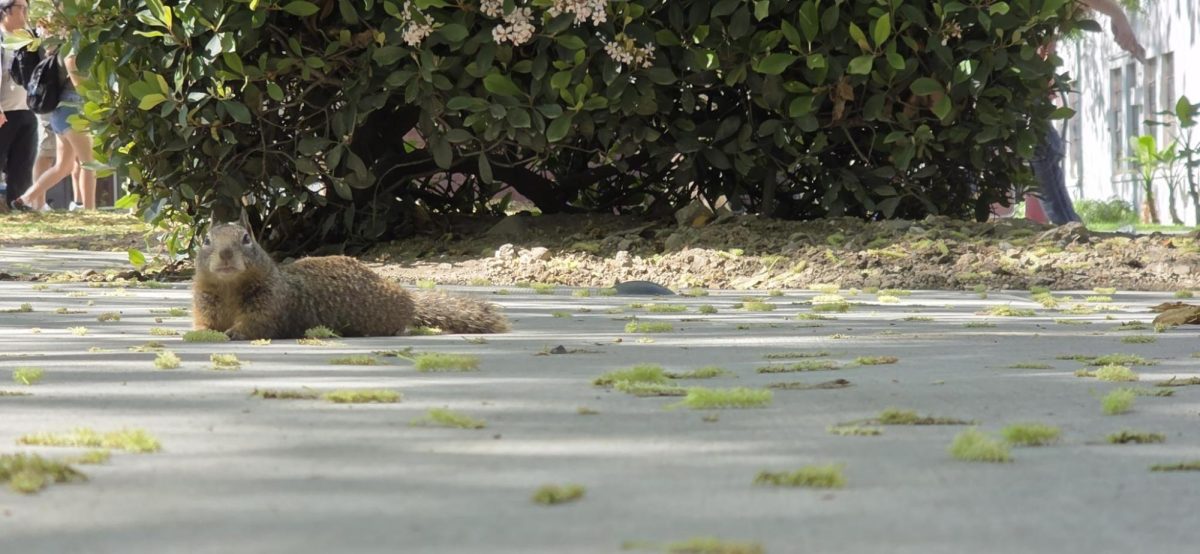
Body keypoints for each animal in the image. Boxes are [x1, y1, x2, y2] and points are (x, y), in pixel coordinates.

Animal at [192, 223, 508, 340]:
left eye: (247, 238)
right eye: (206, 240)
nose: (225, 253)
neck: (230, 288)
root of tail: (409, 299)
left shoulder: (270, 302)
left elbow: (257, 324)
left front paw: (235, 332)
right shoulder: (205, 301)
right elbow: (204, 322)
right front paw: (202, 333)